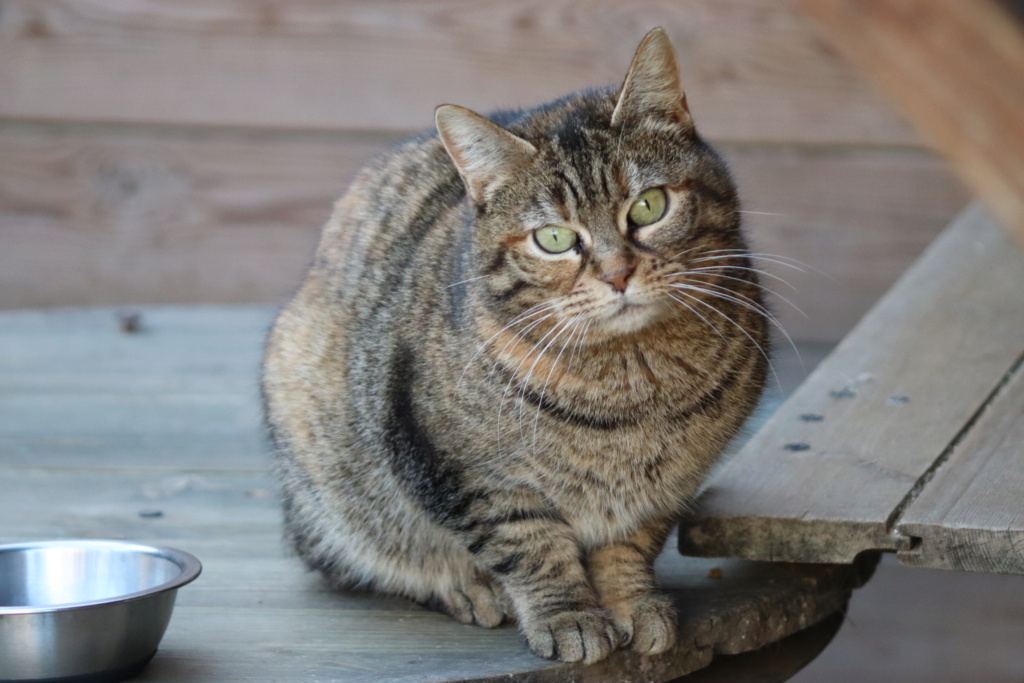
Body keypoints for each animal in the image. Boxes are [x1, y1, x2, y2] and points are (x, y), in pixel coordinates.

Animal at [264, 29, 770, 663]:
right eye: (553, 238)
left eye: (648, 205)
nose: (617, 274)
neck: (633, 386)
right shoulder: (467, 474)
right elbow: (531, 547)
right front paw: (568, 615)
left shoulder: (667, 488)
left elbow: (629, 547)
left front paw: (631, 601)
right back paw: (466, 587)